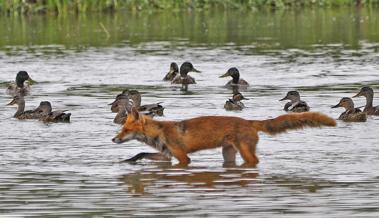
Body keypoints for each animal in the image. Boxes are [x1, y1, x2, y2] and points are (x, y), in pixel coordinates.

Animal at [112, 107, 336, 167]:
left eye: (125, 130)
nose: (113, 140)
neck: (159, 134)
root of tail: (249, 121)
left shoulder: (183, 157)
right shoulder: (166, 156)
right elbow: (140, 154)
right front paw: (128, 161)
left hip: (246, 153)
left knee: (255, 162)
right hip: (228, 153)